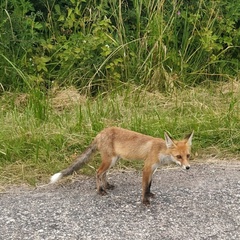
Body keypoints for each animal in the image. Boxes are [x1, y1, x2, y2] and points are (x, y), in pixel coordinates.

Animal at [50, 127, 193, 204]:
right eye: (178, 157)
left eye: (188, 155)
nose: (188, 168)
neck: (160, 151)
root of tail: (100, 133)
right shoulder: (146, 168)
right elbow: (144, 187)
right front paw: (144, 201)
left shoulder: (153, 169)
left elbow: (149, 185)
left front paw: (149, 194)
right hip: (109, 160)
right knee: (98, 172)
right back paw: (100, 190)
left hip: (113, 161)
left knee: (103, 173)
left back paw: (107, 185)